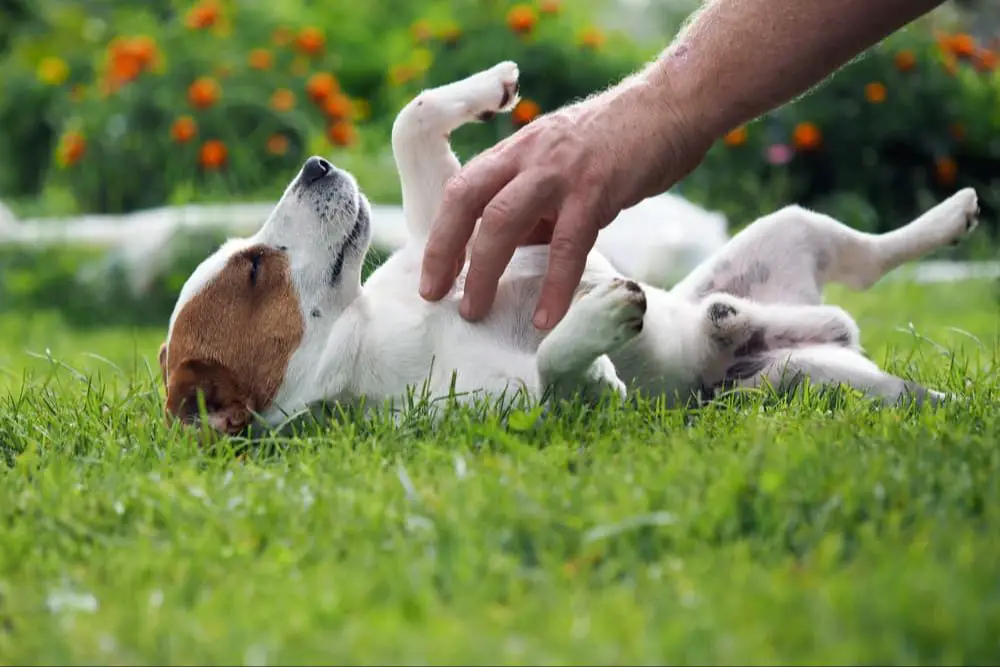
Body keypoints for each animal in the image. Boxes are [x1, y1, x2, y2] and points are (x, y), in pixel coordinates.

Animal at [160, 61, 980, 434]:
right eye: (255, 268)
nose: (315, 165)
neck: (376, 330)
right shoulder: (531, 411)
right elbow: (561, 370)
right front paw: (596, 323)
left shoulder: (445, 234)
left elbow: (410, 121)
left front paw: (488, 88)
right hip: (815, 383)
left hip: (789, 226)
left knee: (867, 258)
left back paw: (950, 217)